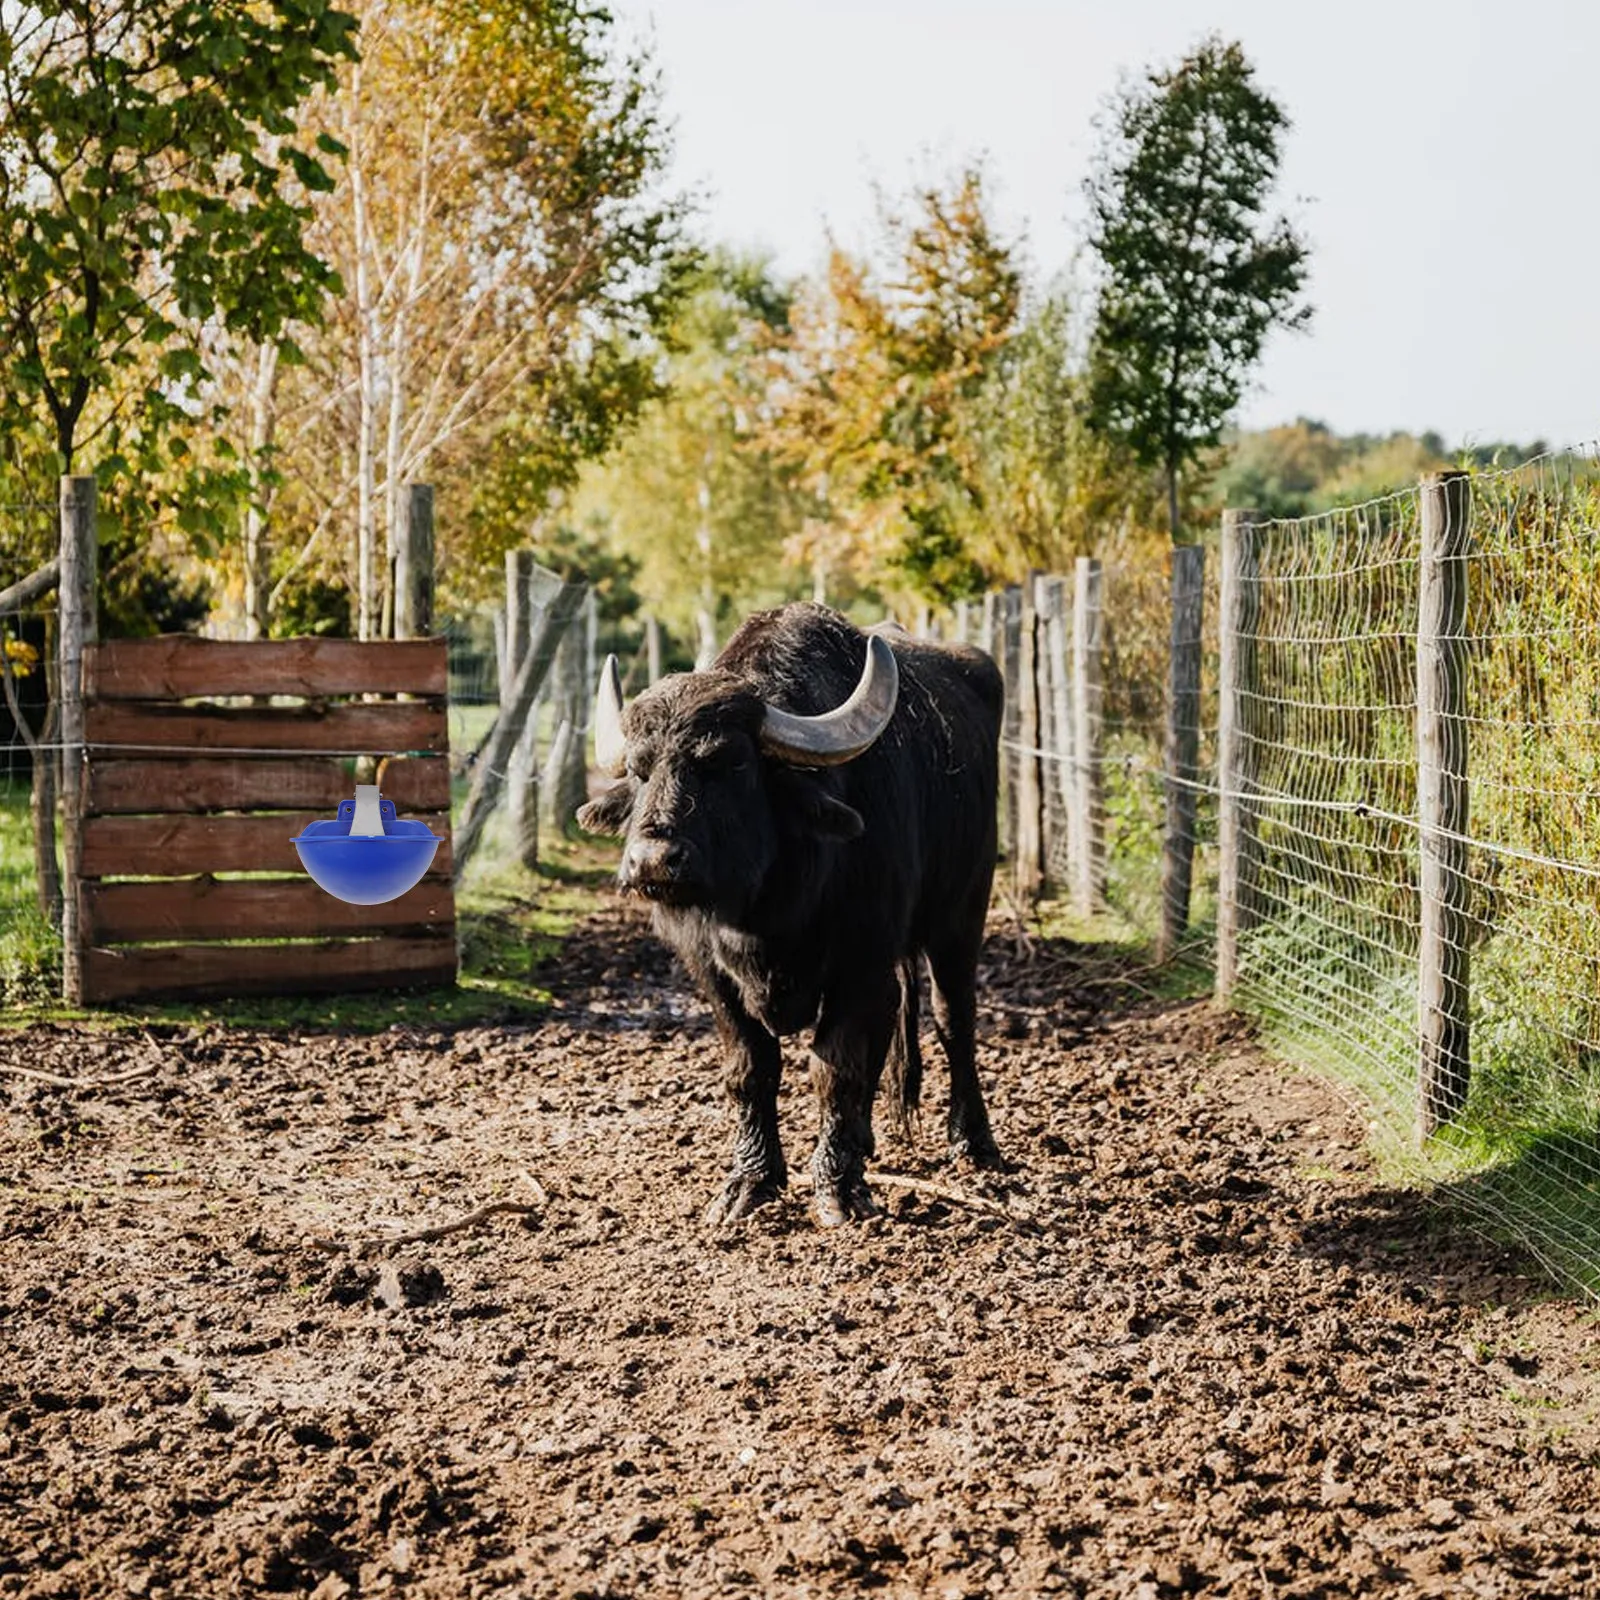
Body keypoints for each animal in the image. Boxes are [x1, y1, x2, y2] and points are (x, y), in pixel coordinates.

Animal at [576, 601, 1003, 1227]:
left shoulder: (862, 961)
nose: (652, 861)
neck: (765, 912)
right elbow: (750, 1069)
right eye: (638, 768)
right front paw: (751, 1181)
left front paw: (838, 1187)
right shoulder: (709, 972)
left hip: (963, 913)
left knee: (955, 1021)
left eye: (728, 762)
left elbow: (835, 1066)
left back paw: (973, 1141)